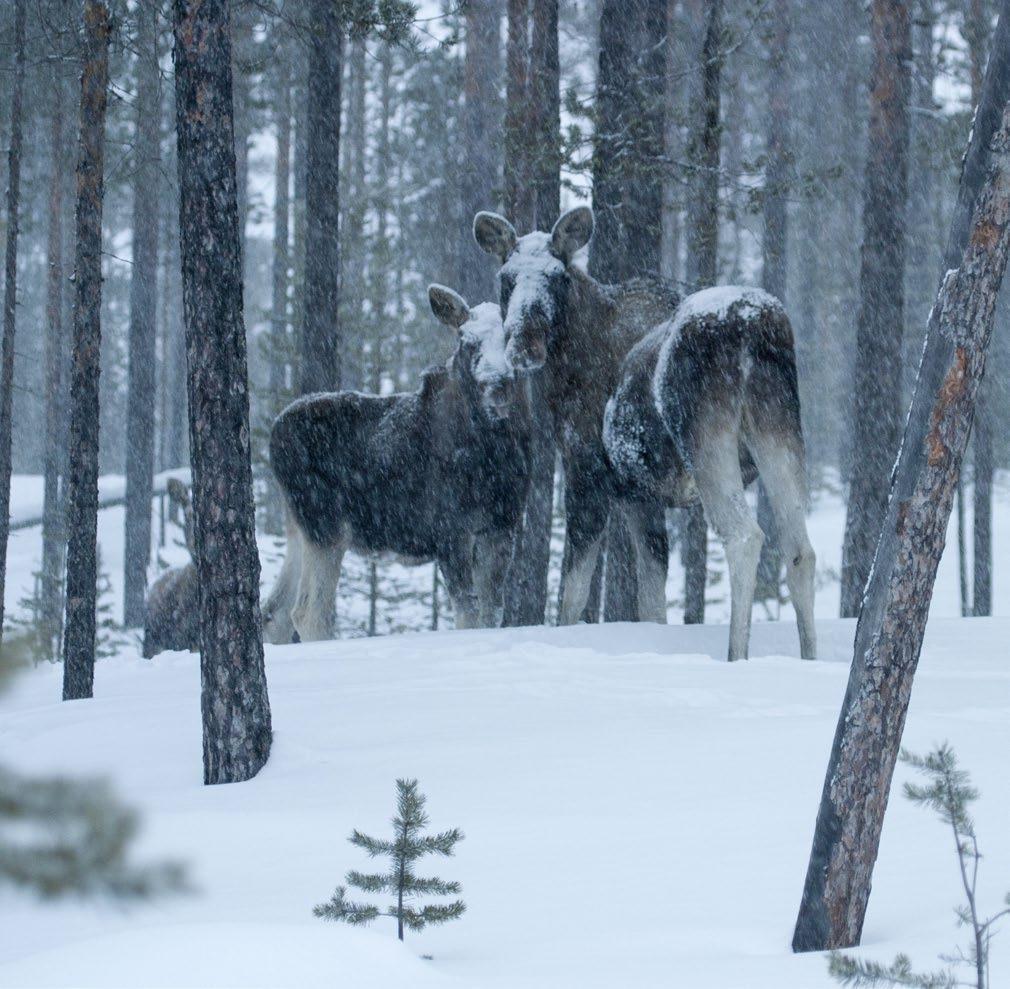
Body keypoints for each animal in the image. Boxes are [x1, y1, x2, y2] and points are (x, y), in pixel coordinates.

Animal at [258, 282, 529, 646]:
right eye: (466, 341)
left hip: (298, 526)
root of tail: (274, 435)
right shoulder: (450, 530)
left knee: (274, 613)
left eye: (511, 337)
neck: (493, 451)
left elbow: (492, 612)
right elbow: (468, 612)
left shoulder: (502, 525)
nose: (496, 382)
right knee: (308, 612)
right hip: (325, 523)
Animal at [476, 205, 816, 662]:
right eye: (506, 278)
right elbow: (652, 599)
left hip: (705, 436)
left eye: (557, 277)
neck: (565, 369)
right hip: (779, 426)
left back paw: (736, 656)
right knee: (799, 549)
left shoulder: (588, 473)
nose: (524, 344)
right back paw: (809, 657)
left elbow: (573, 594)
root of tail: (751, 327)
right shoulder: (639, 494)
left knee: (745, 536)